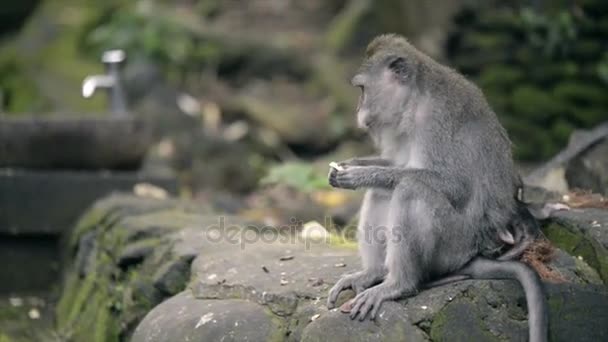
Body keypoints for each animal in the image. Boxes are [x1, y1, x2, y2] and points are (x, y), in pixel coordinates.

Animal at [328, 34, 552, 342]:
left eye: (362, 90)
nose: (357, 110)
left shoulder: (435, 120)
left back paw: (398, 284)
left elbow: (453, 184)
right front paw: (350, 165)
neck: (415, 99)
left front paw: (361, 175)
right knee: (385, 191)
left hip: (451, 245)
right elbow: (398, 164)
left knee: (411, 189)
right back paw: (372, 273)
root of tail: (472, 254)